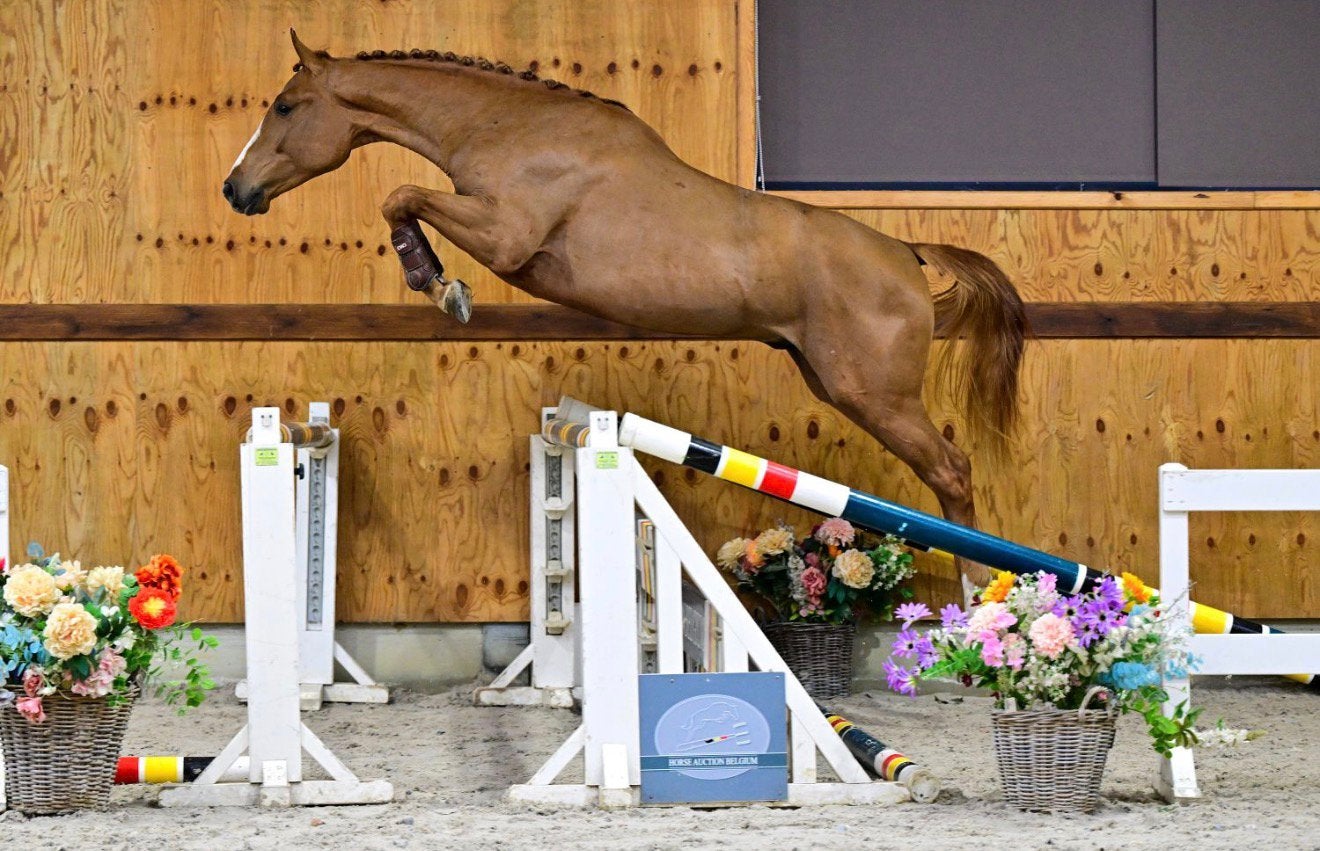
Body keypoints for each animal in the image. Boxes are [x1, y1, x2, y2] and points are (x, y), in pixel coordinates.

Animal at [222, 32, 1027, 592]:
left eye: (286, 107)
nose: (236, 188)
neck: (505, 127)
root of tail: (906, 253)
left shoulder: (505, 237)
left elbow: (401, 196)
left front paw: (440, 284)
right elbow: (403, 196)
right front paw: (437, 281)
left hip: (875, 395)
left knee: (952, 471)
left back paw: (975, 597)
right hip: (833, 381)